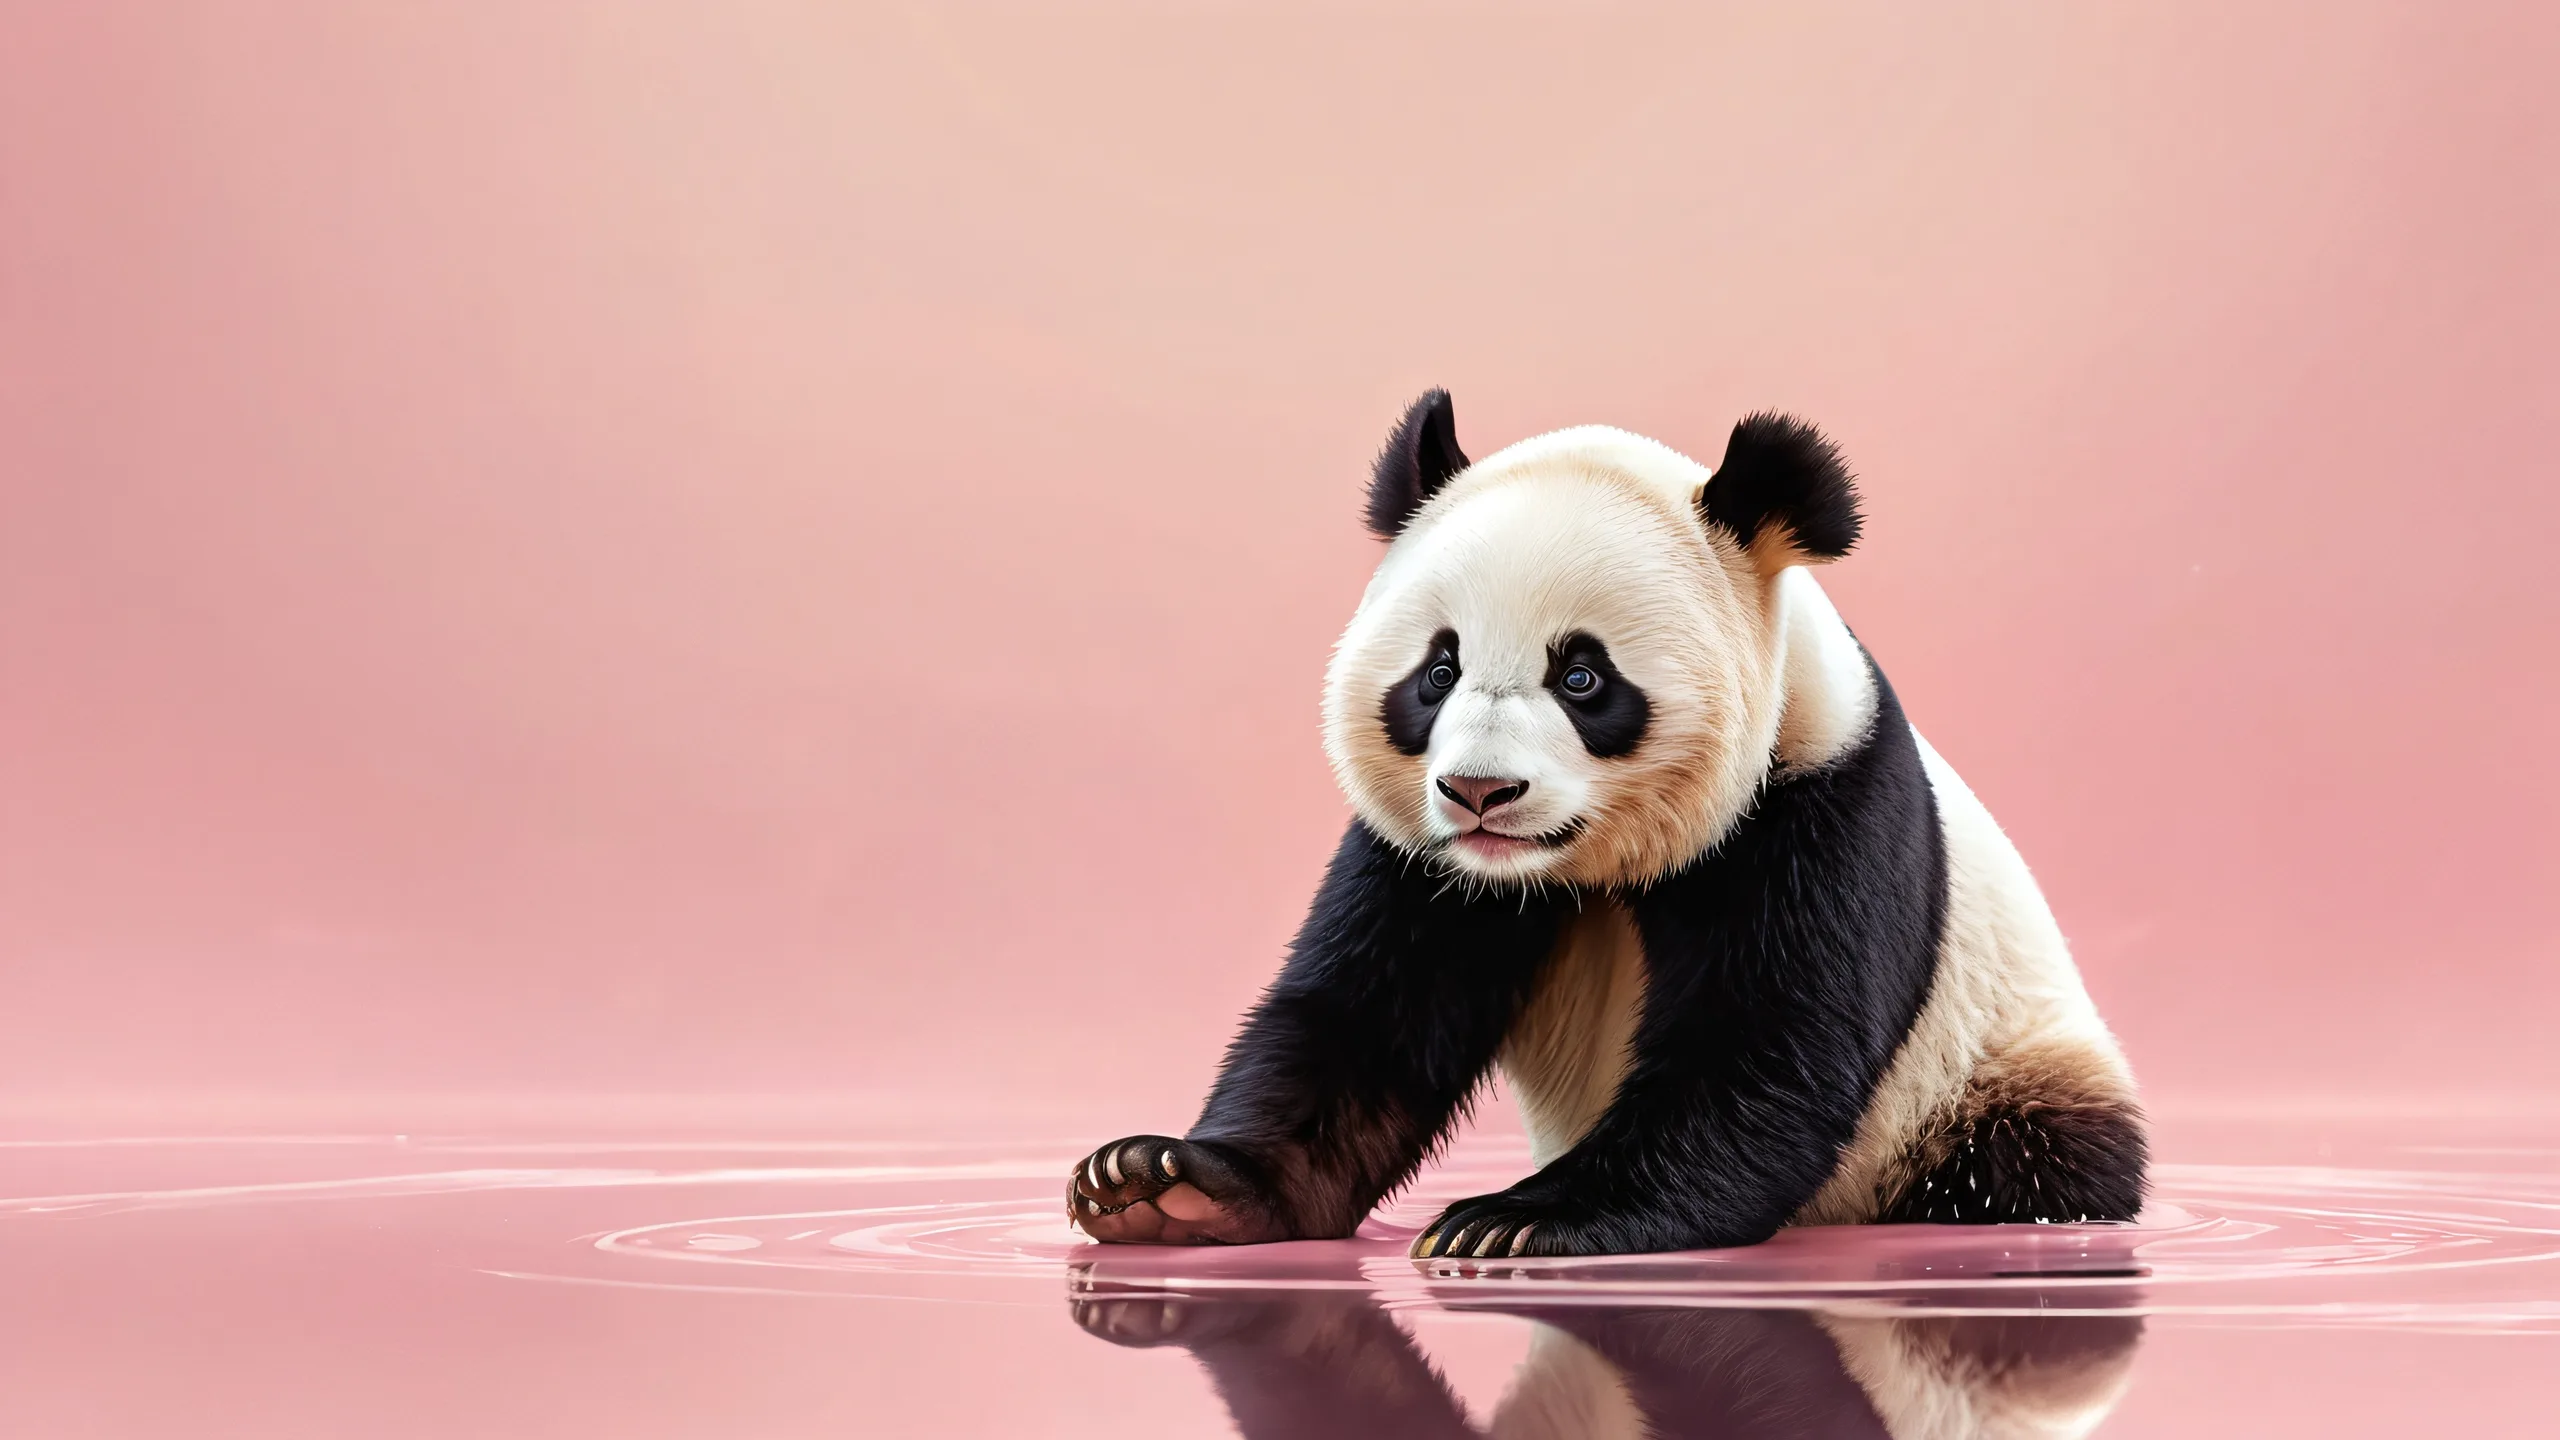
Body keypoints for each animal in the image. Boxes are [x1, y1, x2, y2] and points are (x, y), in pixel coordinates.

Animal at [1068, 391, 2145, 1258]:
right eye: (1437, 671)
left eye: (1582, 677)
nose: (1479, 791)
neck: (1584, 869)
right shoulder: (1418, 860)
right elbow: (1362, 1020)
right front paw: (1164, 1185)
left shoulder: (1817, 800)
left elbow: (1761, 1042)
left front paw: (1517, 1218)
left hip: (2000, 1071)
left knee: (2035, 1155)